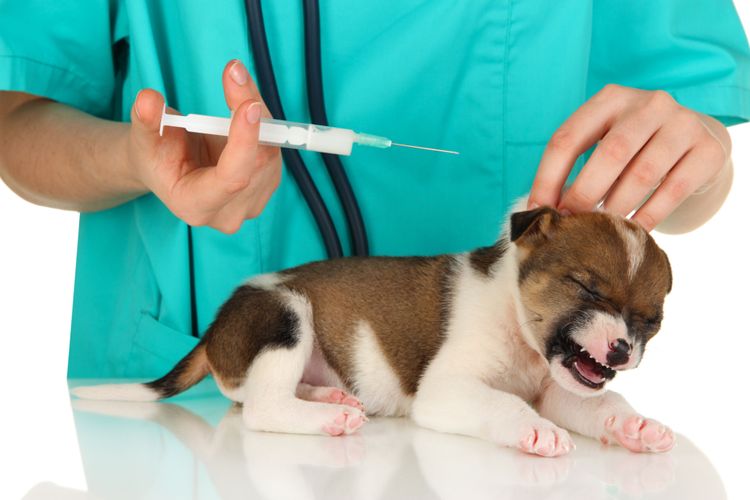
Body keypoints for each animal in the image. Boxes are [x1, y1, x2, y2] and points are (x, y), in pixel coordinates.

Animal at [73, 203, 680, 458]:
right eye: (587, 289)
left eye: (650, 321)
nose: (621, 349)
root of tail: (213, 330)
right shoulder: (447, 391)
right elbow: (505, 405)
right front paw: (533, 430)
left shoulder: (560, 389)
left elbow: (601, 404)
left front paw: (633, 425)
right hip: (286, 315)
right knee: (262, 407)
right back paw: (327, 417)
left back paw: (328, 396)